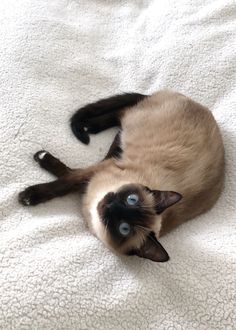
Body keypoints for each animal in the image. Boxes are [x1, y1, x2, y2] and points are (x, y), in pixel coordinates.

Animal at [18, 89, 225, 262]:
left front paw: (27, 196)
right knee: (122, 112)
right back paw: (90, 128)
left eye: (124, 229)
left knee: (121, 118)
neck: (91, 202)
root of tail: (194, 102)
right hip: (133, 127)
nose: (111, 205)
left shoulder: (94, 177)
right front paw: (30, 192)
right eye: (131, 199)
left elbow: (67, 177)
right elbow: (66, 181)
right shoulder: (99, 169)